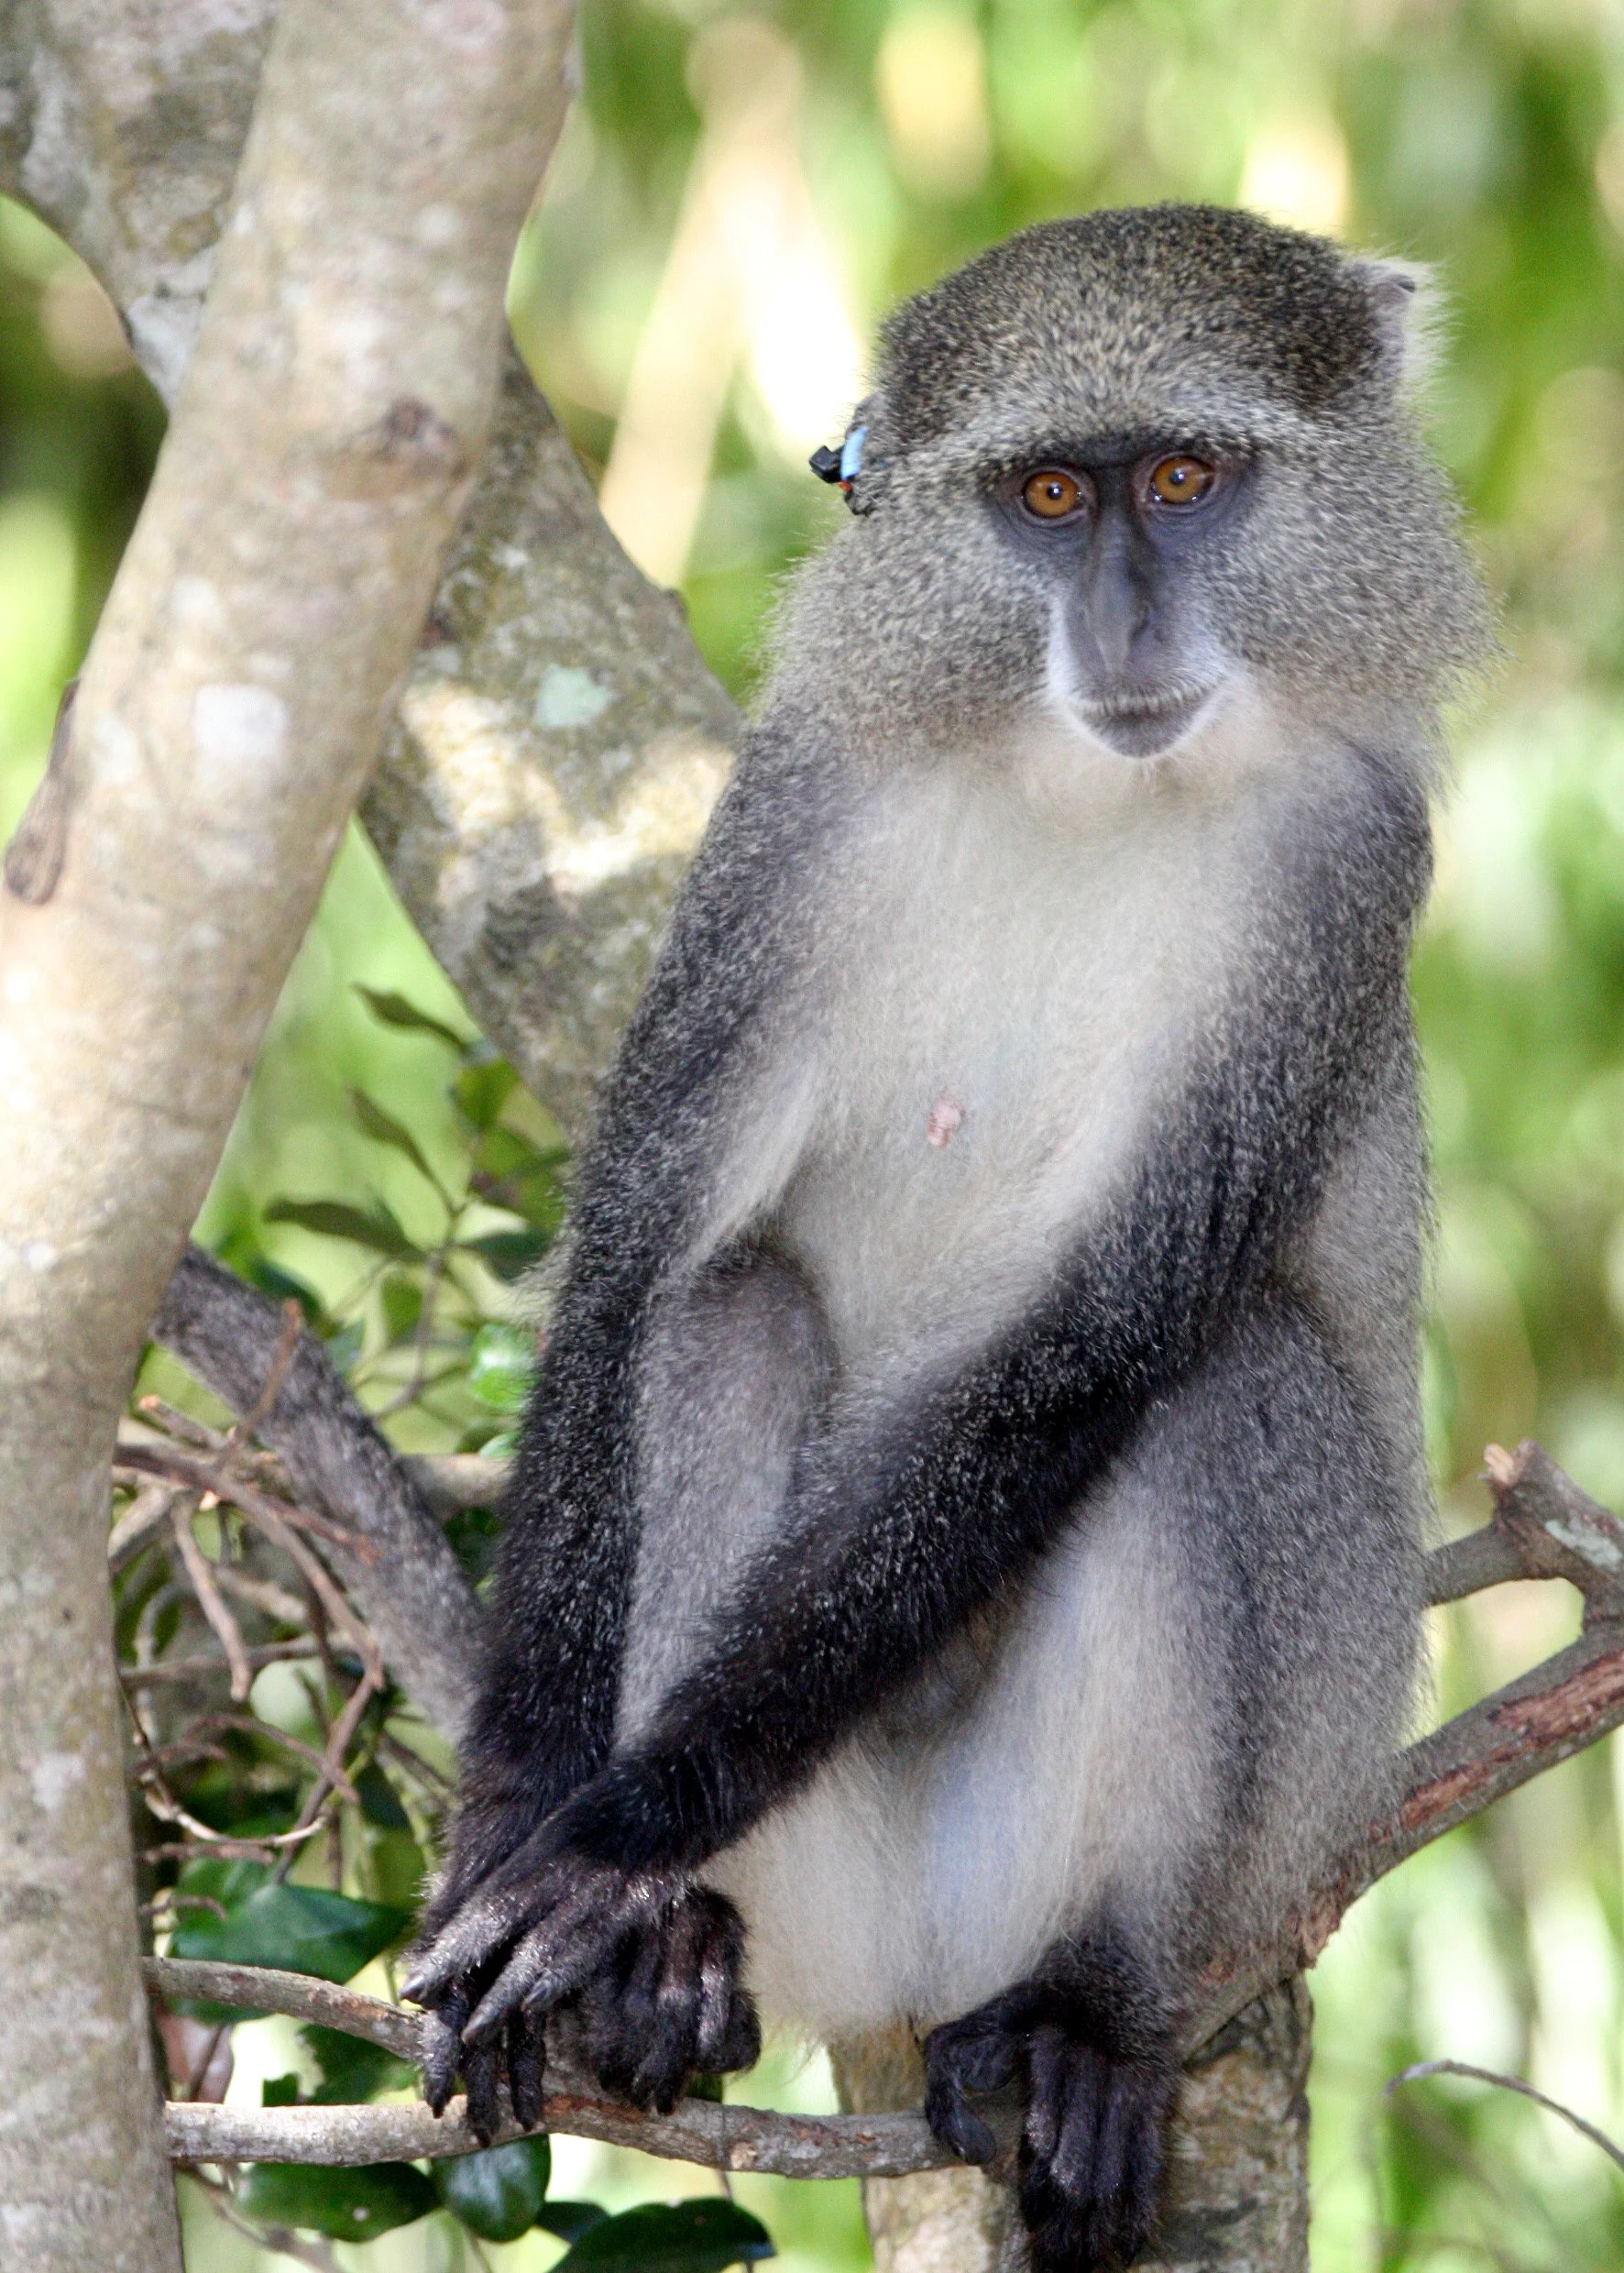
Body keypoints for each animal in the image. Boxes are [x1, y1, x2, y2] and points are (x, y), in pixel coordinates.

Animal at [403, 204, 1491, 2270]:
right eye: (1051, 495)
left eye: (1183, 479)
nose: (1126, 626)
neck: (1083, 794)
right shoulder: (792, 808)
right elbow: (645, 1254)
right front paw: (531, 1833)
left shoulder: (1342, 868)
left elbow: (1089, 1347)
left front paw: (609, 1839)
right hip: (826, 1876)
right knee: (734, 1313)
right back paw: (674, 1957)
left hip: (1187, 1838)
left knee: (1218, 1385)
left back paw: (1082, 2014)